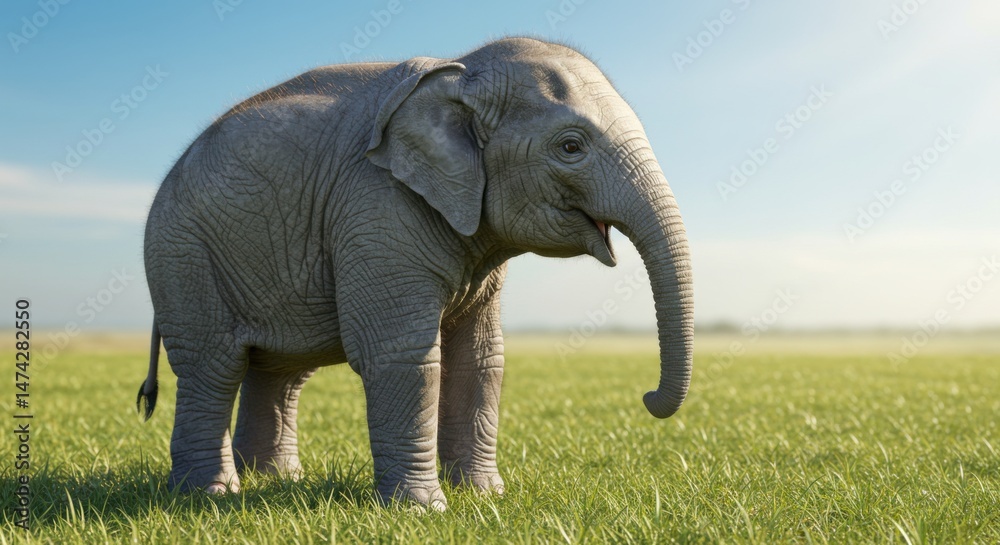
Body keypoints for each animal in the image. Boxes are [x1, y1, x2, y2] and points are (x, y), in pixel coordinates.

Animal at [136, 37, 693, 511]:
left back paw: (273, 481)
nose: (647, 398)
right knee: (214, 364)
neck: (460, 71)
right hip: (183, 255)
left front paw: (484, 498)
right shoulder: (377, 207)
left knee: (280, 370)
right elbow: (402, 354)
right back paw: (211, 496)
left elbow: (482, 359)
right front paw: (424, 511)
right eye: (571, 147)